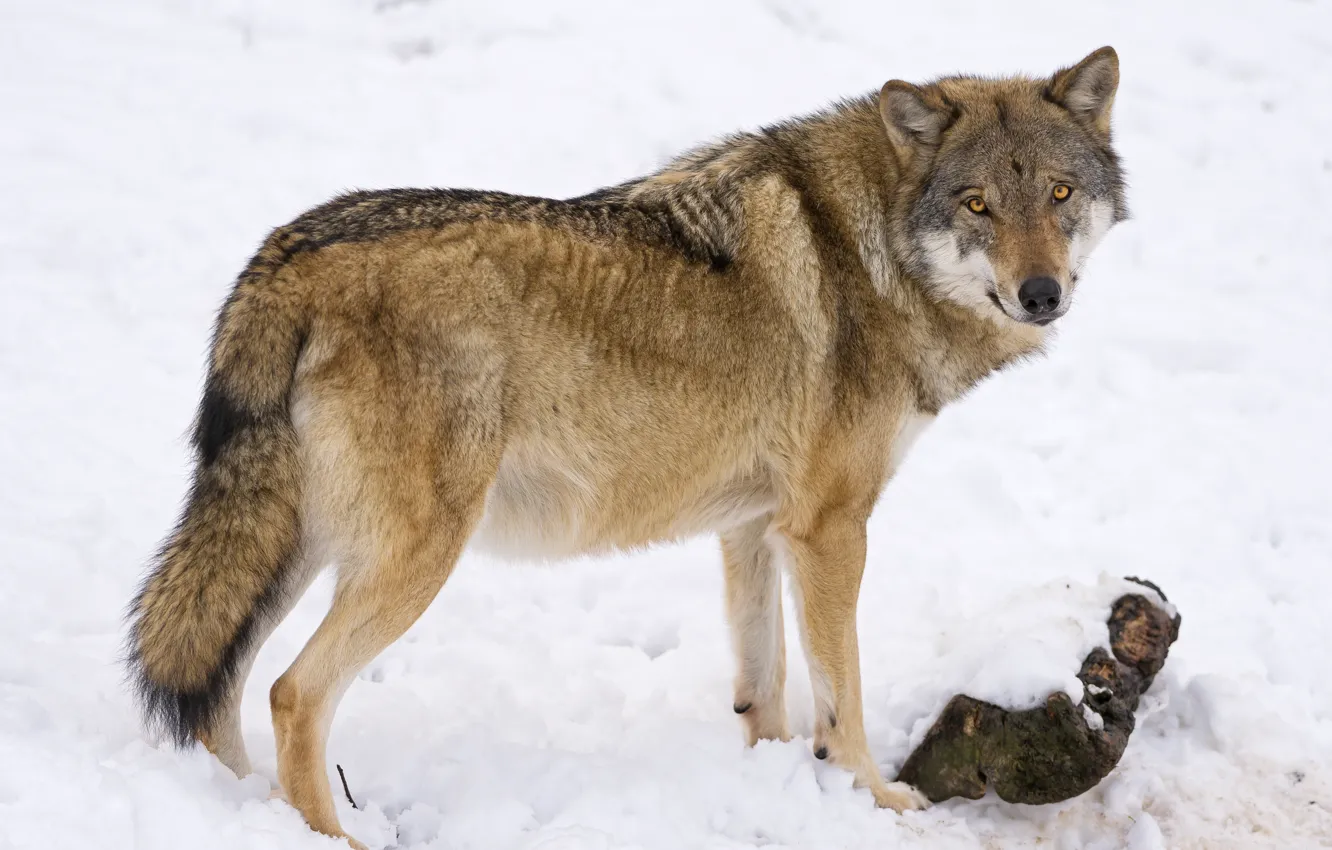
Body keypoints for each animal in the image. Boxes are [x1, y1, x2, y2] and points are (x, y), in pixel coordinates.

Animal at [126, 47, 1126, 846]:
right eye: (978, 205)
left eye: (1060, 195)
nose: (1042, 294)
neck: (871, 247)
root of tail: (284, 255)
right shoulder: (829, 529)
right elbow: (841, 694)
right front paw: (873, 802)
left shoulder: (755, 526)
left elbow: (765, 684)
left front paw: (777, 788)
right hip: (409, 556)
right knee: (292, 694)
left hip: (298, 548)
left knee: (222, 692)